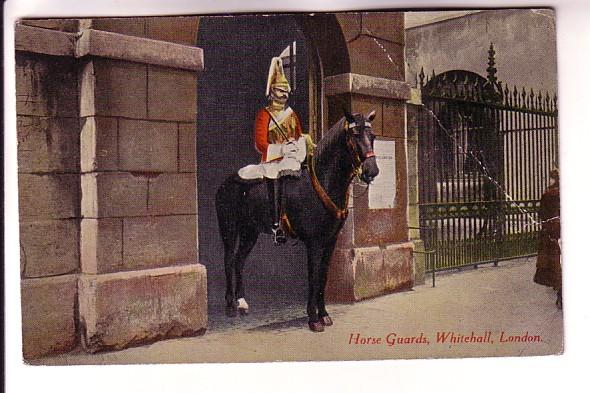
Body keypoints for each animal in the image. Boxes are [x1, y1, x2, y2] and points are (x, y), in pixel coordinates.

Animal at [216, 110, 380, 330]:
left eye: (373, 136)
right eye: (354, 136)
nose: (372, 170)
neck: (323, 180)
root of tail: (226, 183)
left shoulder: (330, 241)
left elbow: (323, 276)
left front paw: (324, 314)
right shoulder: (314, 243)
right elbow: (313, 277)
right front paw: (313, 318)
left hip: (250, 232)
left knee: (239, 260)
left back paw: (242, 303)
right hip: (229, 229)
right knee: (228, 260)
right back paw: (230, 306)